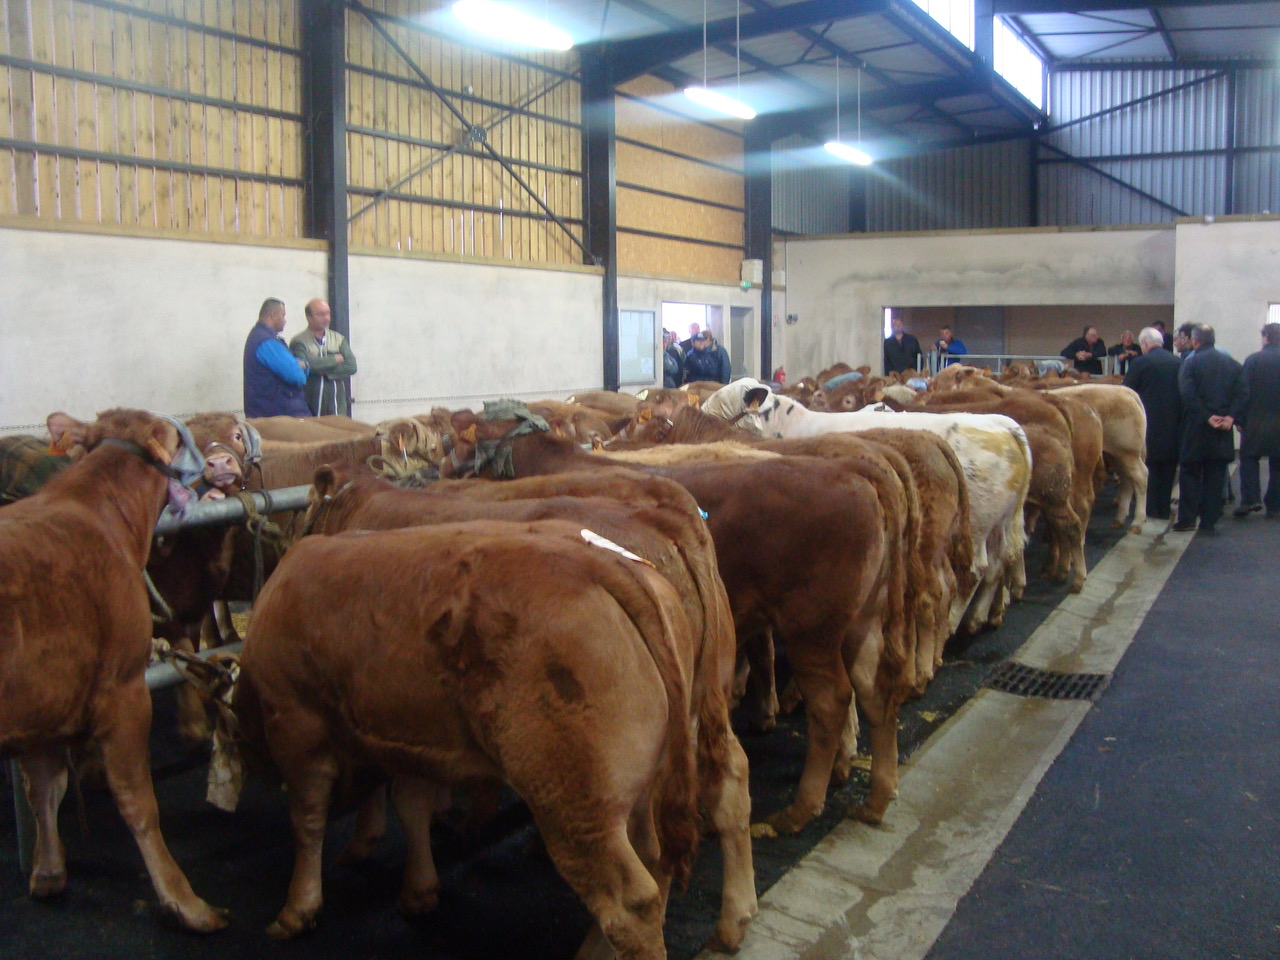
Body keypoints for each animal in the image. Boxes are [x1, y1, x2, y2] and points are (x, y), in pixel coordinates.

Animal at [0, 408, 226, 931]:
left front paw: (48, 871)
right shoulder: (123, 690)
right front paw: (182, 899)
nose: (214, 467)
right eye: (177, 435)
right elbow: (138, 801)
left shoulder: (44, 703)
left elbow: (45, 787)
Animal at [231, 520, 701, 959]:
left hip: (576, 800)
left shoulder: (295, 723)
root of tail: (597, 560)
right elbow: (411, 806)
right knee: (656, 862)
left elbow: (307, 820)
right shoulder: (412, 738)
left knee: (630, 903)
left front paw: (297, 909)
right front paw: (417, 890)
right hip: (644, 790)